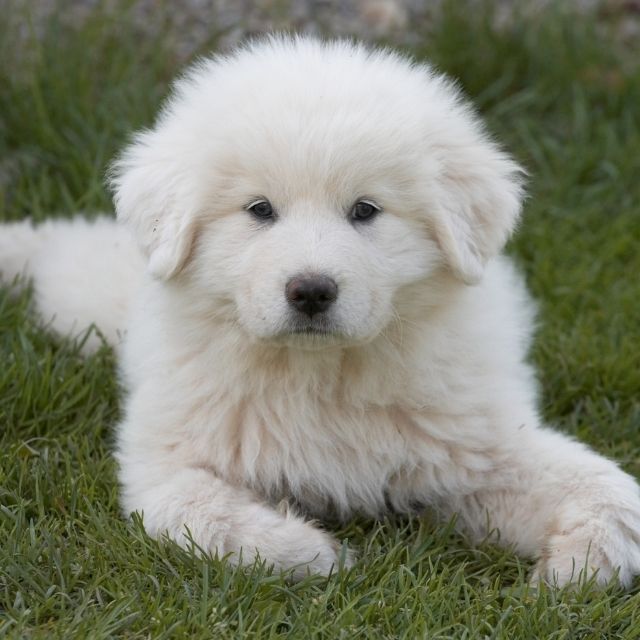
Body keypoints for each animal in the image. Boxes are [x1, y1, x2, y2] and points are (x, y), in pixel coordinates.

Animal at [1, 35, 640, 584]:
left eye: (365, 210)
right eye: (260, 209)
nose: (310, 291)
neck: (321, 374)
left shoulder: (481, 448)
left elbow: (604, 486)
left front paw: (578, 567)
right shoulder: (165, 464)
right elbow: (203, 514)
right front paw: (314, 552)